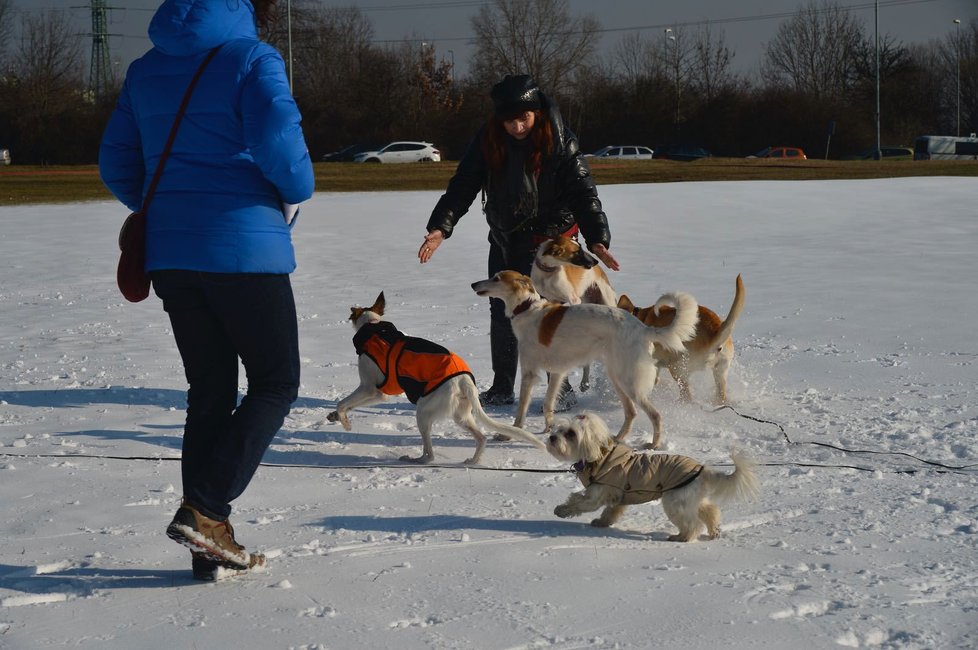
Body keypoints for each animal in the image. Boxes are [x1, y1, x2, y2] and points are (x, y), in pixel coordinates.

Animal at [326, 292, 540, 464]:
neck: (374, 328)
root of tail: (464, 380)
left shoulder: (372, 389)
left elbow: (342, 403)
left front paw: (344, 421)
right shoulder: (379, 394)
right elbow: (348, 405)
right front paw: (335, 416)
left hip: (423, 410)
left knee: (430, 455)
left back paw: (416, 459)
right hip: (460, 415)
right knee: (481, 438)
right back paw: (473, 461)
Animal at [468, 270, 696, 448]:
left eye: (496, 278)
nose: (473, 284)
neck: (528, 309)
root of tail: (643, 329)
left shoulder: (529, 373)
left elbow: (521, 411)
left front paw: (509, 435)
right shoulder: (557, 372)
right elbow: (548, 404)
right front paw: (548, 428)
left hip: (629, 383)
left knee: (655, 415)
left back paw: (653, 445)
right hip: (617, 378)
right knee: (631, 412)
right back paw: (617, 439)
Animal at [528, 235, 612, 390]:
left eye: (581, 248)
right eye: (576, 252)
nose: (595, 261)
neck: (548, 273)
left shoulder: (574, 299)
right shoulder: (551, 300)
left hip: (606, 299)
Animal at [544, 410, 760, 540]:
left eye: (571, 434)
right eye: (559, 430)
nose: (552, 437)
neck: (600, 456)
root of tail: (701, 469)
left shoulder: (598, 493)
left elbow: (578, 502)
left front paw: (561, 510)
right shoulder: (618, 497)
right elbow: (610, 511)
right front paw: (602, 523)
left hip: (675, 501)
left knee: (692, 523)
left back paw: (682, 537)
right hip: (691, 498)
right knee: (710, 511)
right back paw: (714, 530)